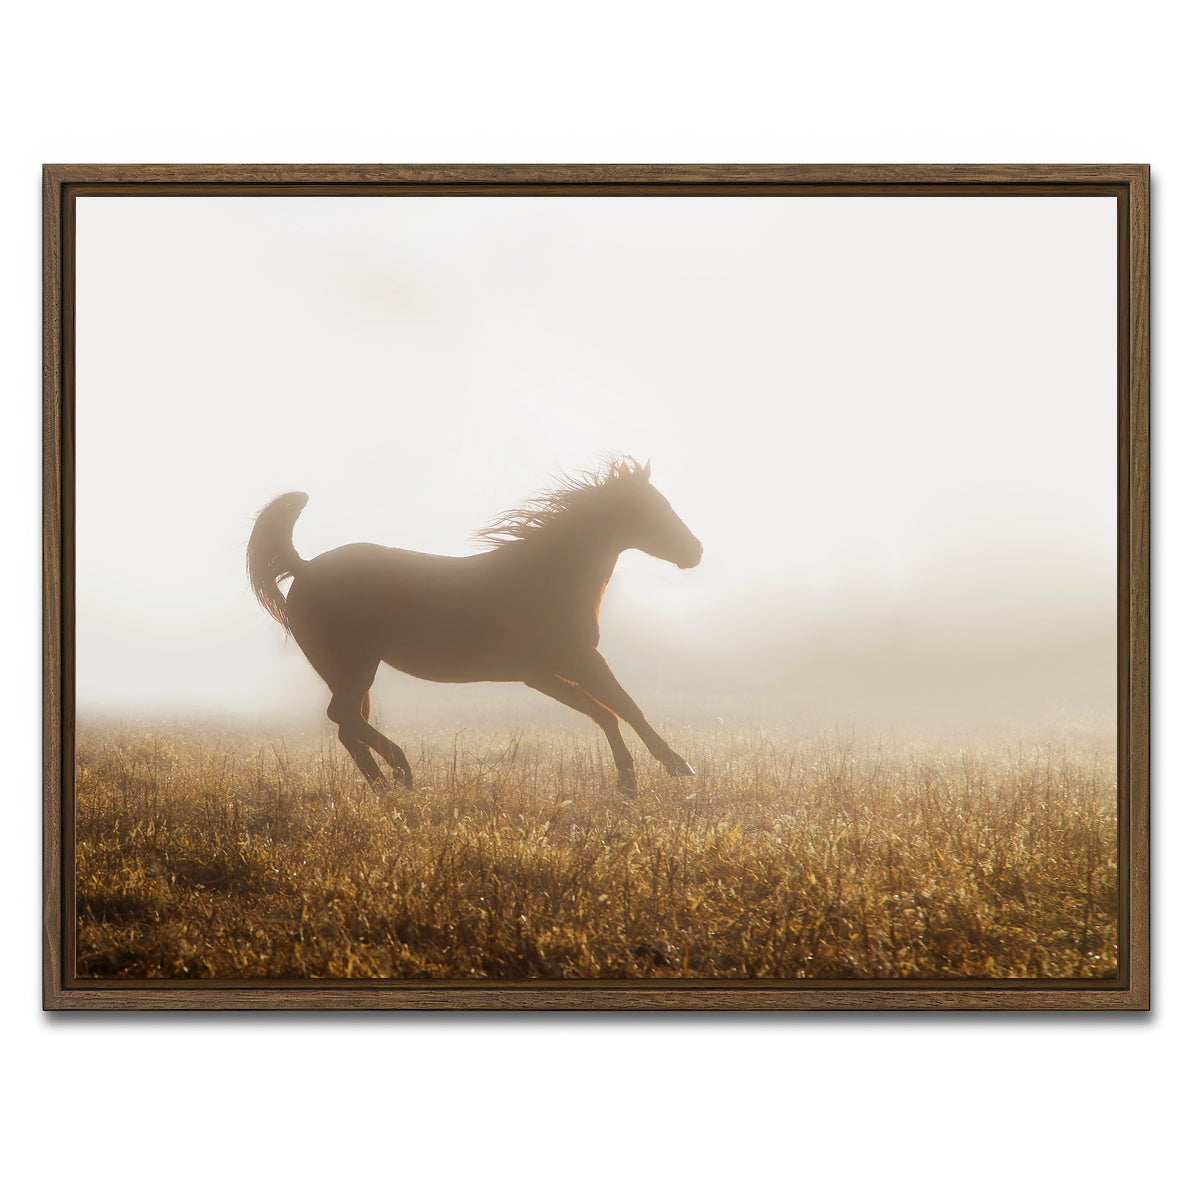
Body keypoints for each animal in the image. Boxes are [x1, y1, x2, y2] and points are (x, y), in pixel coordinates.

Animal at [246, 458, 703, 797]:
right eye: (654, 509)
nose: (695, 551)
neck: (548, 578)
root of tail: (304, 568)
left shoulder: (545, 673)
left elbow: (605, 712)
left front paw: (630, 780)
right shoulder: (572, 662)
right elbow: (622, 706)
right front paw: (675, 766)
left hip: (348, 671)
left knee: (347, 727)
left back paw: (387, 788)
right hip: (355, 666)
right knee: (343, 718)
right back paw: (403, 771)